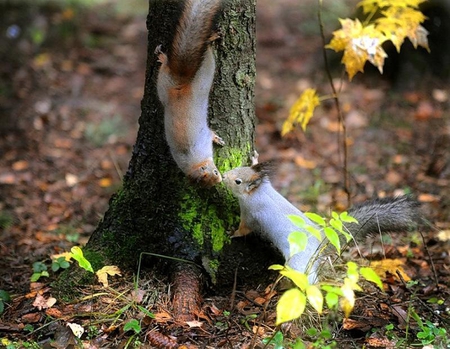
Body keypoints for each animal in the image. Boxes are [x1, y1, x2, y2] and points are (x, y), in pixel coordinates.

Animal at [156, 0, 224, 188]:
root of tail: (180, 84)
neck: (194, 161)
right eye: (214, 175)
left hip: (167, 82)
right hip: (200, 75)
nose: (221, 179)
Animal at [223, 151, 420, 282]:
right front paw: (255, 158)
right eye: (238, 167)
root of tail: (321, 243)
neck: (259, 191)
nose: (224, 175)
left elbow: (245, 228)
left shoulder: (249, 211)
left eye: (238, 182)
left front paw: (232, 233)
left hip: (299, 263)